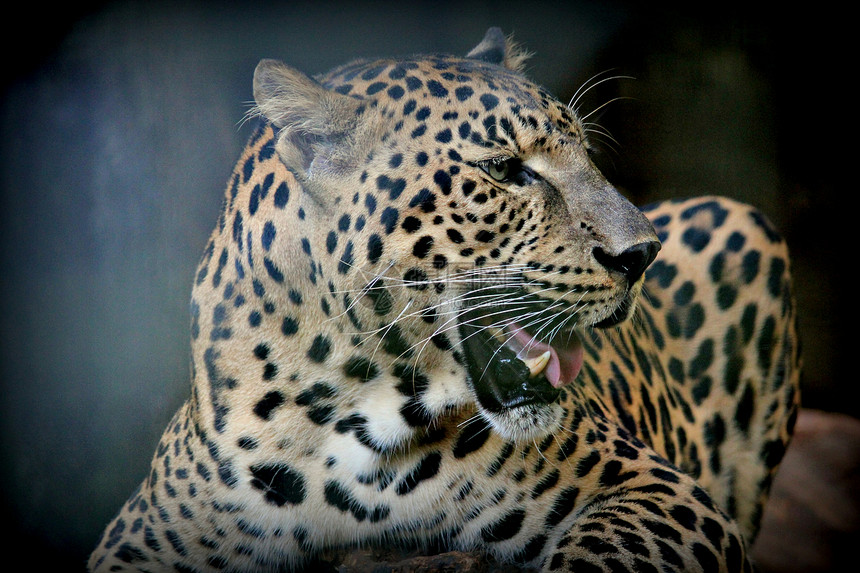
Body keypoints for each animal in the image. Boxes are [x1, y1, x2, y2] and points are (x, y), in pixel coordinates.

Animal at [87, 27, 800, 572]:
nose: (640, 255)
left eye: (586, 154)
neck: (336, 409)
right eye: (505, 170)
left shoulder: (661, 491)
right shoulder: (147, 534)